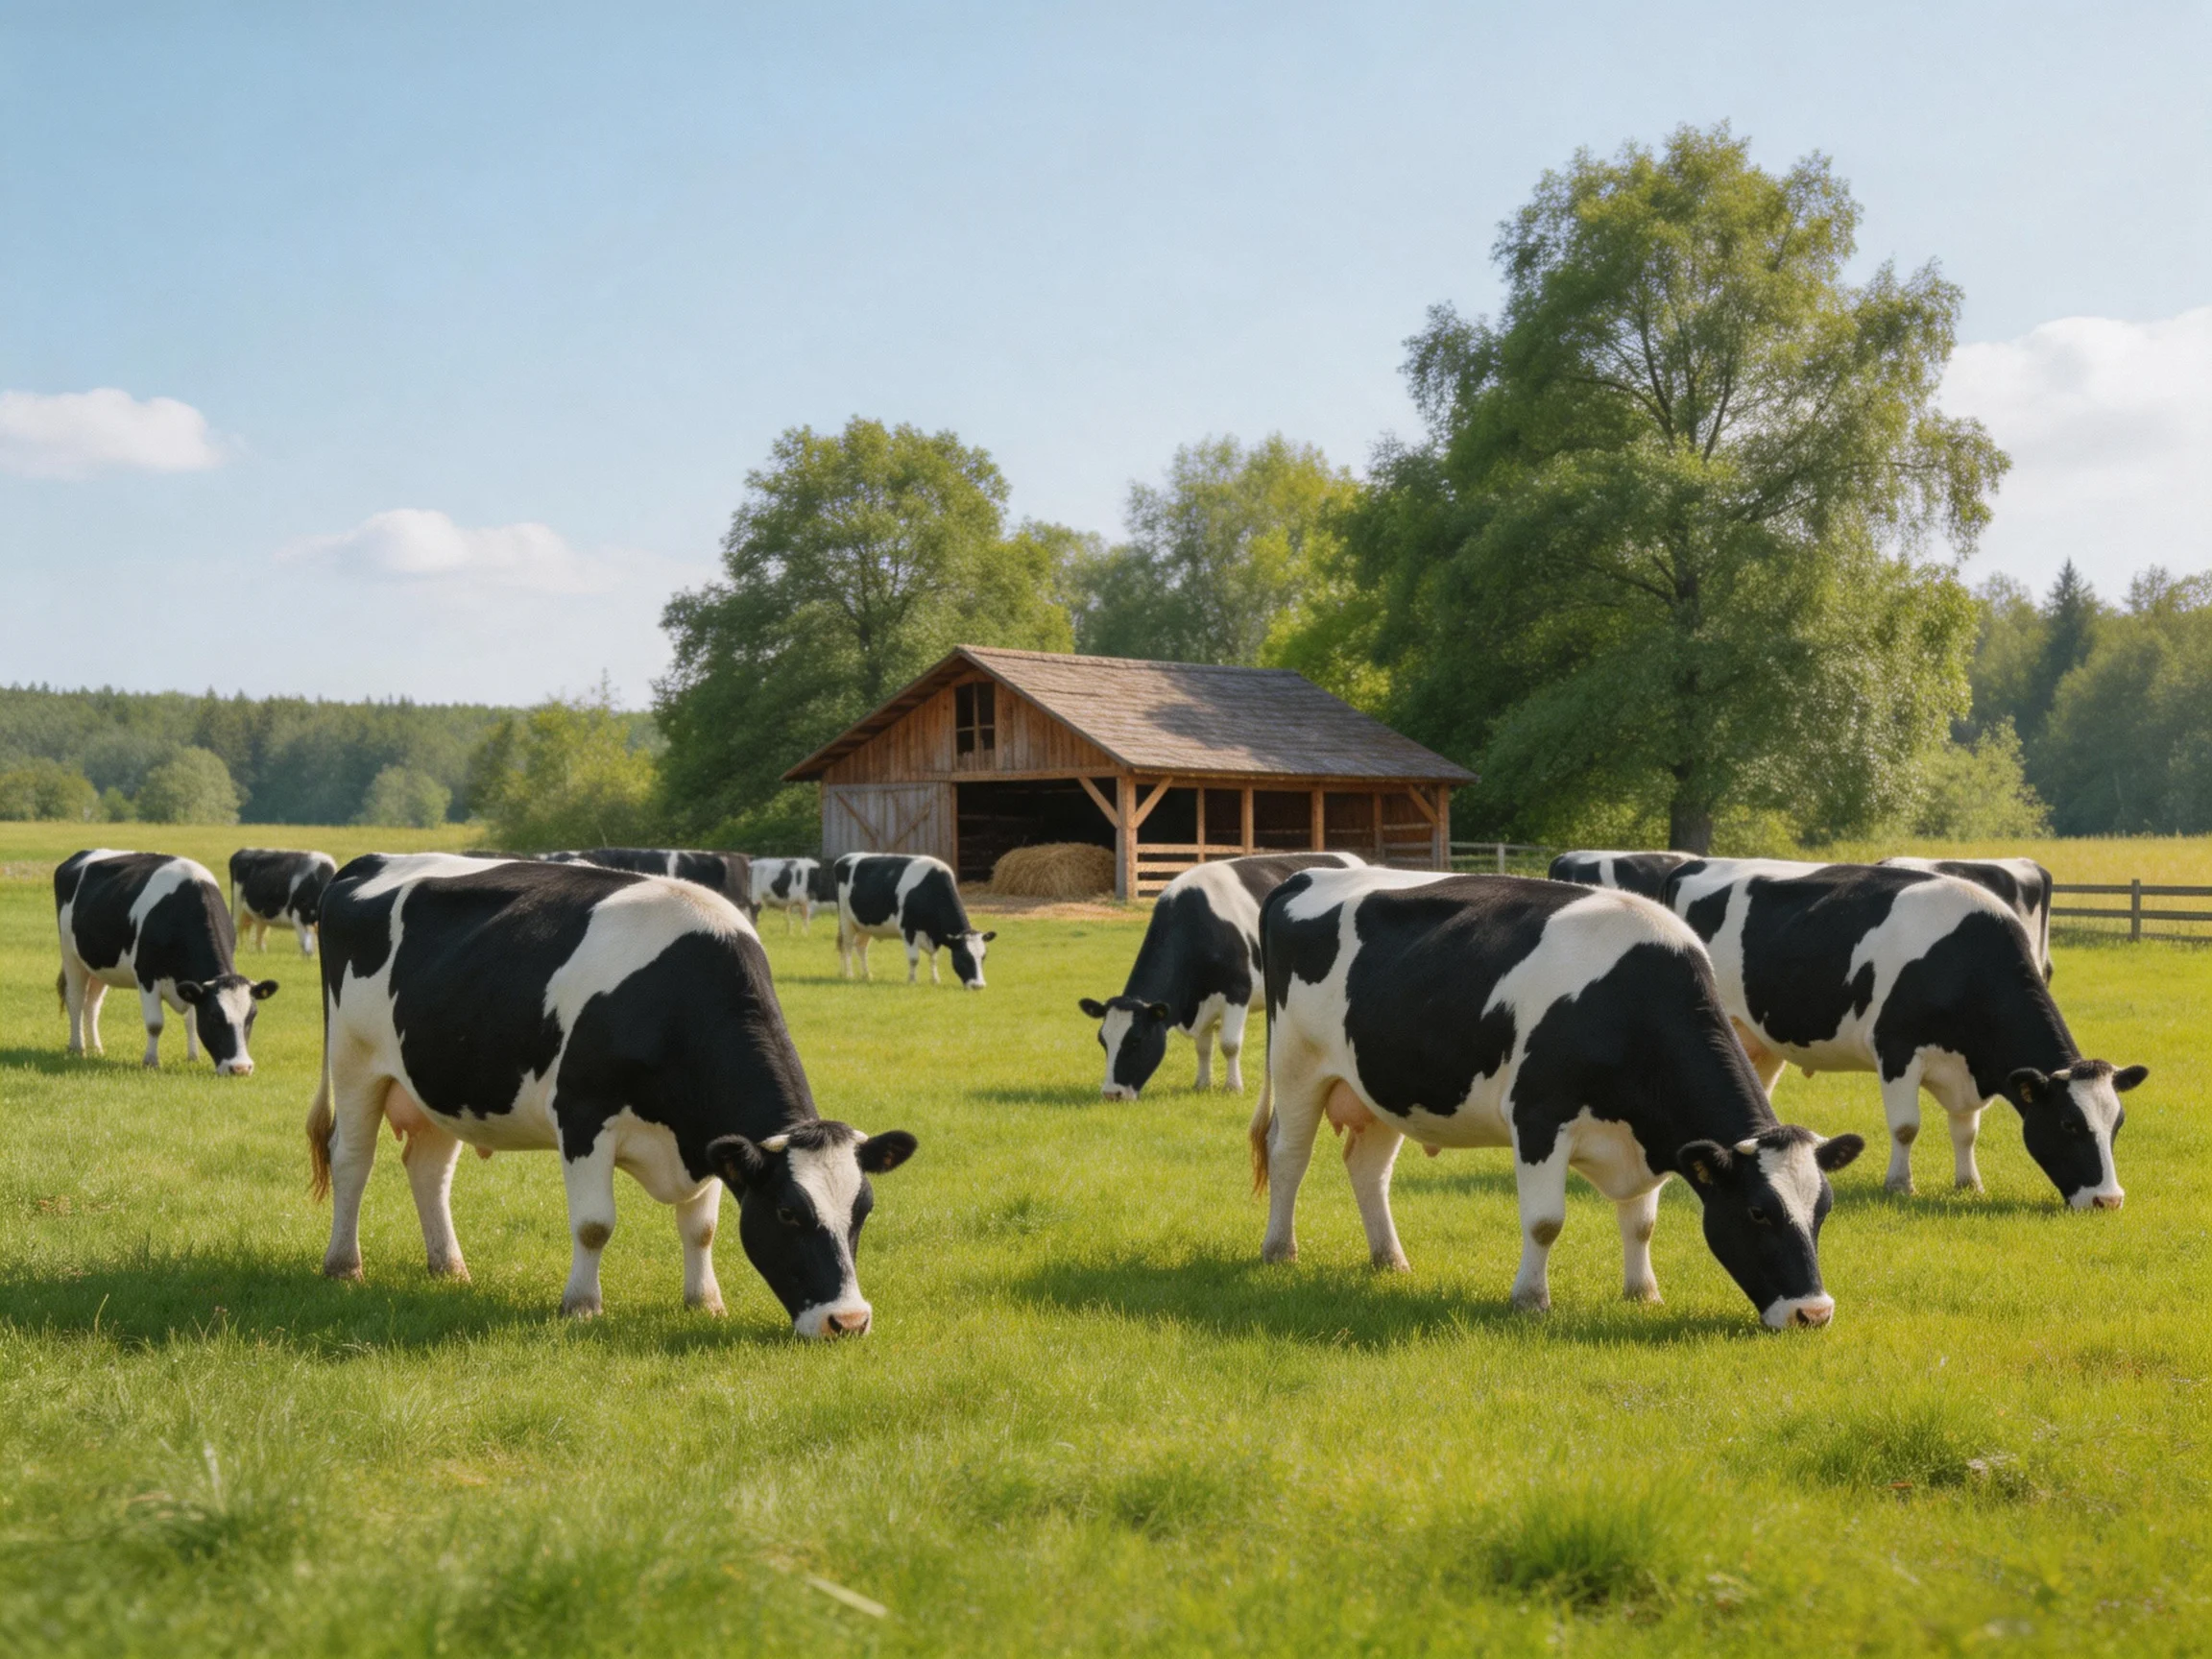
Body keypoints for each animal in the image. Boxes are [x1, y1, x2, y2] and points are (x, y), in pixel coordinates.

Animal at [54, 849, 278, 1074]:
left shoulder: (192, 985)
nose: (240, 1068)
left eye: (252, 1015)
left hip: (99, 965)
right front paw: (151, 1061)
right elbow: (155, 1024)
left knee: (92, 1005)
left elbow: (191, 1021)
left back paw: (96, 1049)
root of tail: (80, 855)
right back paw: (78, 1047)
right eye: (214, 1016)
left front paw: (193, 1057)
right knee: (75, 1000)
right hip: (70, 955)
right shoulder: (147, 976)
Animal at [834, 853, 994, 988]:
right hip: (846, 919)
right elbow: (914, 959)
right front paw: (912, 981)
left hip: (866, 925)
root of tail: (845, 858)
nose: (979, 986)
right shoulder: (908, 929)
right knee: (847, 946)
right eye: (964, 957)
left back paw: (867, 975)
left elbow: (933, 958)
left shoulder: (934, 936)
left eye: (983, 957)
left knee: (861, 947)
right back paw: (848, 974)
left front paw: (935, 980)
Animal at [1078, 852, 1365, 1100]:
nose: (1111, 1093)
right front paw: (1202, 1083)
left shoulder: (1237, 991)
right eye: (1102, 1040)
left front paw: (1233, 1087)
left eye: (1136, 1041)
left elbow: (1229, 1044)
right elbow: (1203, 1047)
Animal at [1251, 867, 1863, 1328]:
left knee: (1368, 1168)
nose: (1814, 1313)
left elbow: (1641, 1223)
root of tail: (1307, 874)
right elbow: (1545, 1221)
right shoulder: (1539, 1118)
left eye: (1823, 1210)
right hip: (1297, 1061)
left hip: (1379, 1085)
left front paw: (1642, 1293)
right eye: (1759, 1212)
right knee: (1289, 1155)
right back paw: (1279, 1251)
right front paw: (1530, 1301)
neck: (1629, 1002)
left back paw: (1390, 1260)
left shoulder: (1650, 1136)